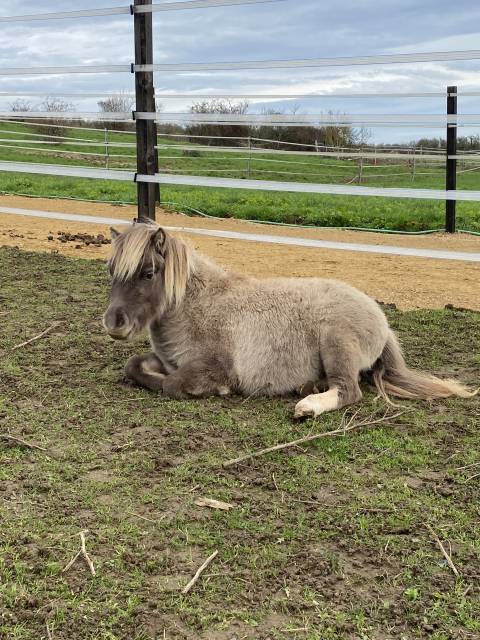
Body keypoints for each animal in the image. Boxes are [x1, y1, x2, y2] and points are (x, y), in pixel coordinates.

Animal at [102, 221, 475, 418]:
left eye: (148, 273)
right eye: (110, 270)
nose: (113, 323)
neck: (200, 306)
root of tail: (380, 318)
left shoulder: (212, 366)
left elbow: (172, 385)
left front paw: (218, 390)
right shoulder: (166, 360)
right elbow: (134, 366)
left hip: (336, 341)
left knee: (349, 390)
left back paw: (308, 405)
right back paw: (309, 387)